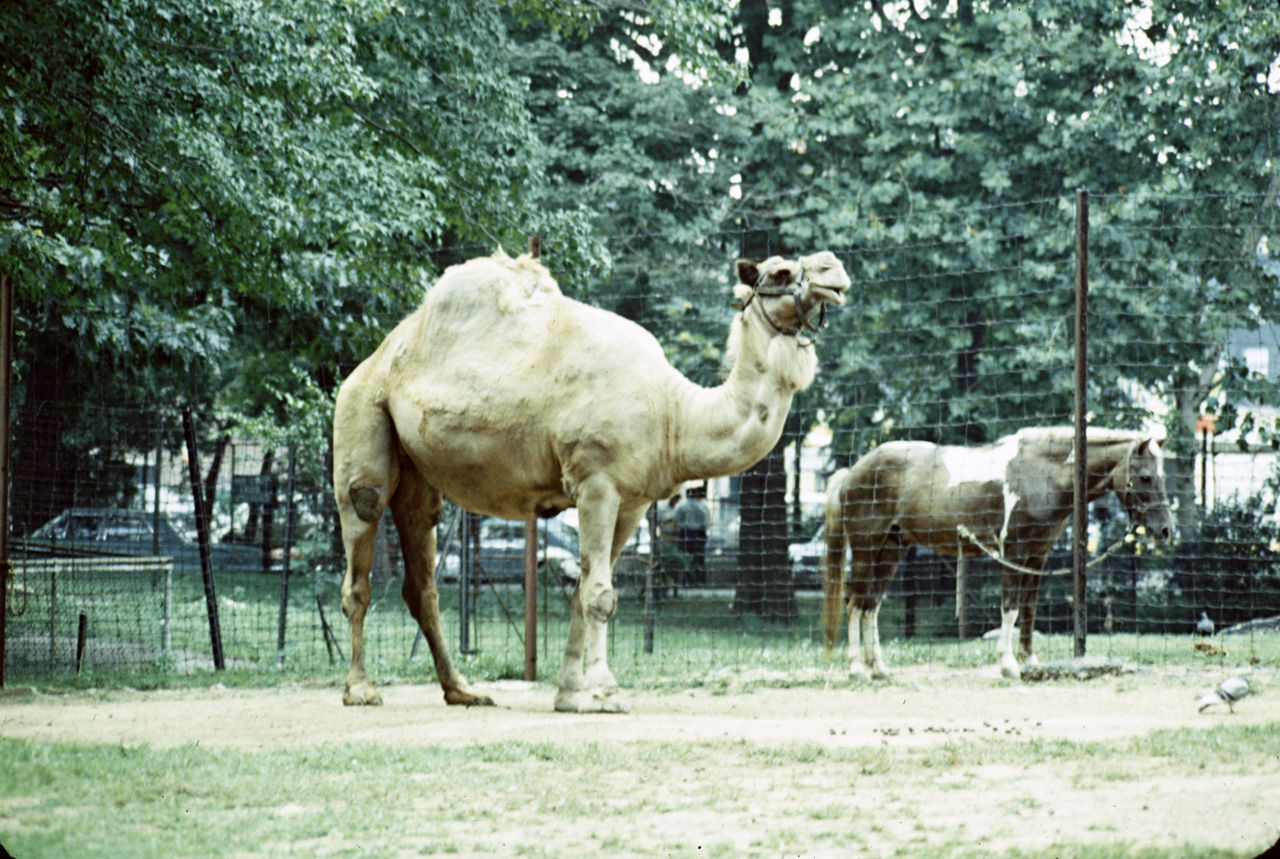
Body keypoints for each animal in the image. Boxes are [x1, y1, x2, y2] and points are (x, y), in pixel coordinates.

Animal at [332, 247, 849, 711]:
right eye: (780, 271)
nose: (835, 269)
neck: (673, 412)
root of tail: (373, 360)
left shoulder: (634, 500)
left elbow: (582, 594)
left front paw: (569, 695)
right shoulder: (595, 480)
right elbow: (601, 595)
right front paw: (605, 691)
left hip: (417, 473)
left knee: (421, 571)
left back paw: (462, 690)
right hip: (362, 418)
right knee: (362, 537)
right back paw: (360, 689)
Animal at [824, 427, 1172, 681]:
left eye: (1162, 476)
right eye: (1144, 477)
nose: (1166, 530)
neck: (1041, 473)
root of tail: (853, 471)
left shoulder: (1037, 557)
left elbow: (1029, 609)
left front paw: (1030, 661)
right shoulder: (1014, 553)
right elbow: (1011, 608)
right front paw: (1008, 665)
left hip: (891, 549)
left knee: (871, 606)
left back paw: (879, 669)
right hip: (867, 548)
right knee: (855, 603)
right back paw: (857, 669)